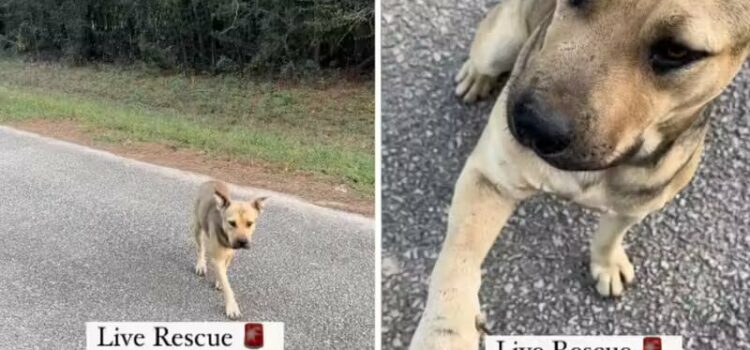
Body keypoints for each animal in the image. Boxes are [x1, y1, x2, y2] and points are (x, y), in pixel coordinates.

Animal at [192, 180, 268, 320]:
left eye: (250, 223)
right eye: (232, 223)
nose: (242, 241)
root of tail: (211, 181)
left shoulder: (230, 253)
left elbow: (224, 271)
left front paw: (219, 281)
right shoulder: (217, 258)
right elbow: (228, 286)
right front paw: (232, 307)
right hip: (197, 226)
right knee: (201, 247)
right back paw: (201, 264)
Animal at [412, 1, 750, 348]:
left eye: (677, 50)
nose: (533, 125)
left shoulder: (636, 206)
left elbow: (610, 234)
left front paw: (607, 263)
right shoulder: (490, 181)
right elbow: (458, 260)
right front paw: (445, 329)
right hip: (497, 44)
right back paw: (477, 76)